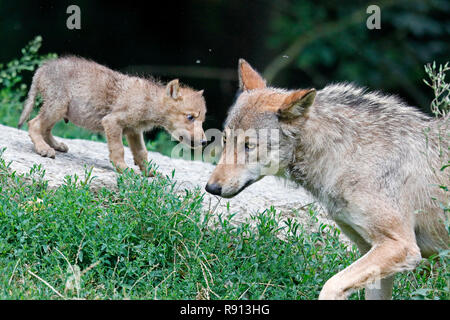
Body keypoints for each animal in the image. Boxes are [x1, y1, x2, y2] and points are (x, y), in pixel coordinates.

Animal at [206, 59, 448, 300]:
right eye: (225, 140)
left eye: (249, 145)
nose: (211, 188)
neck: (347, 156)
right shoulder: (372, 250)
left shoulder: (401, 246)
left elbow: (330, 285)